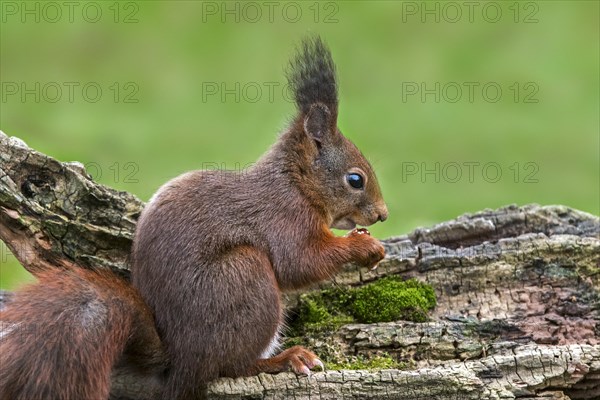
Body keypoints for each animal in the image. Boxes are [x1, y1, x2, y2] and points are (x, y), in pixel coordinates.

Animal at [0, 36, 384, 398]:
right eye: (355, 180)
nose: (382, 214)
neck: (296, 183)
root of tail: (181, 362)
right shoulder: (284, 218)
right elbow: (300, 262)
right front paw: (365, 247)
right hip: (245, 275)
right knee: (231, 366)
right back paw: (284, 359)